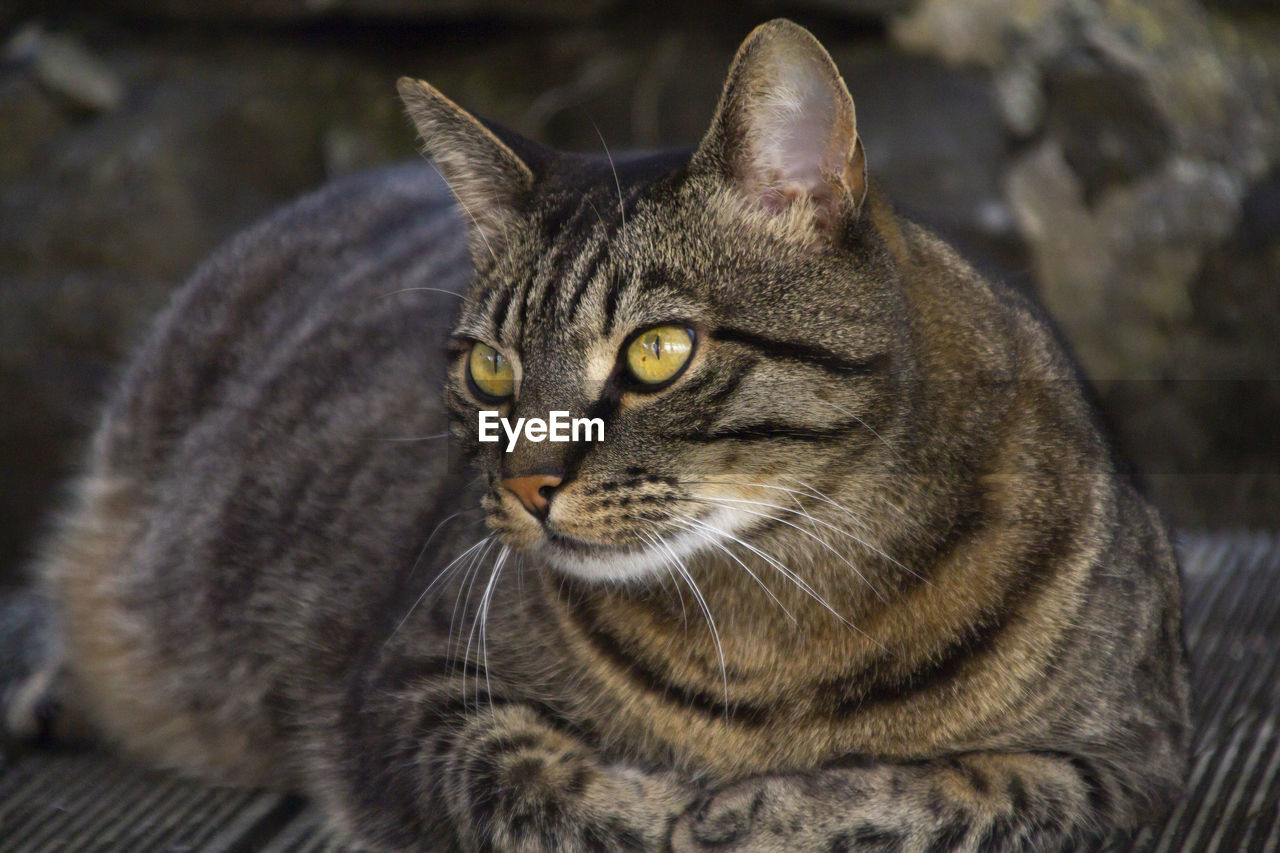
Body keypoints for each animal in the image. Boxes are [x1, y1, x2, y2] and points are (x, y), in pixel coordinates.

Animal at [5, 19, 1192, 850]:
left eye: (657, 352)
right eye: (489, 366)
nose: (527, 484)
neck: (780, 616)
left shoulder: (1127, 756)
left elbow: (955, 789)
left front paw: (757, 810)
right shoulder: (406, 689)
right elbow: (540, 780)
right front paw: (671, 809)